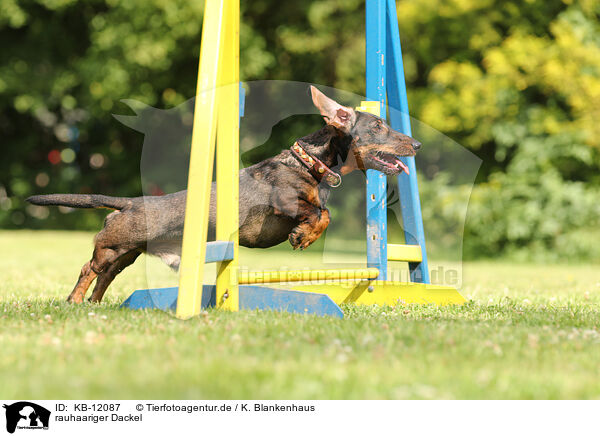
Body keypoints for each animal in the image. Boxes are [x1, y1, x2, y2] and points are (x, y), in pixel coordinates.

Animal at [27, 85, 422, 304]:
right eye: (378, 126)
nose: (416, 144)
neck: (309, 164)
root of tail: (131, 203)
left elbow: (323, 212)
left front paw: (304, 235)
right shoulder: (286, 203)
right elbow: (321, 213)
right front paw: (302, 236)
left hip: (127, 254)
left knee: (105, 276)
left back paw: (92, 305)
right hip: (112, 247)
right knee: (88, 269)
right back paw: (74, 301)